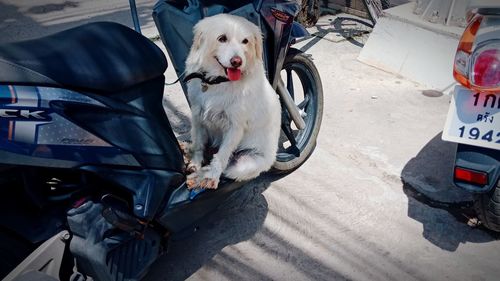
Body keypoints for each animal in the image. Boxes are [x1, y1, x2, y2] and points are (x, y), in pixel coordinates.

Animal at [186, 12, 284, 188]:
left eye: (245, 41)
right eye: (222, 38)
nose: (237, 62)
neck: (219, 81)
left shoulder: (235, 126)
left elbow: (221, 156)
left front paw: (210, 176)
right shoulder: (197, 115)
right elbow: (198, 143)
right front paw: (195, 162)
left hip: (243, 165)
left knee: (225, 166)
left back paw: (200, 177)